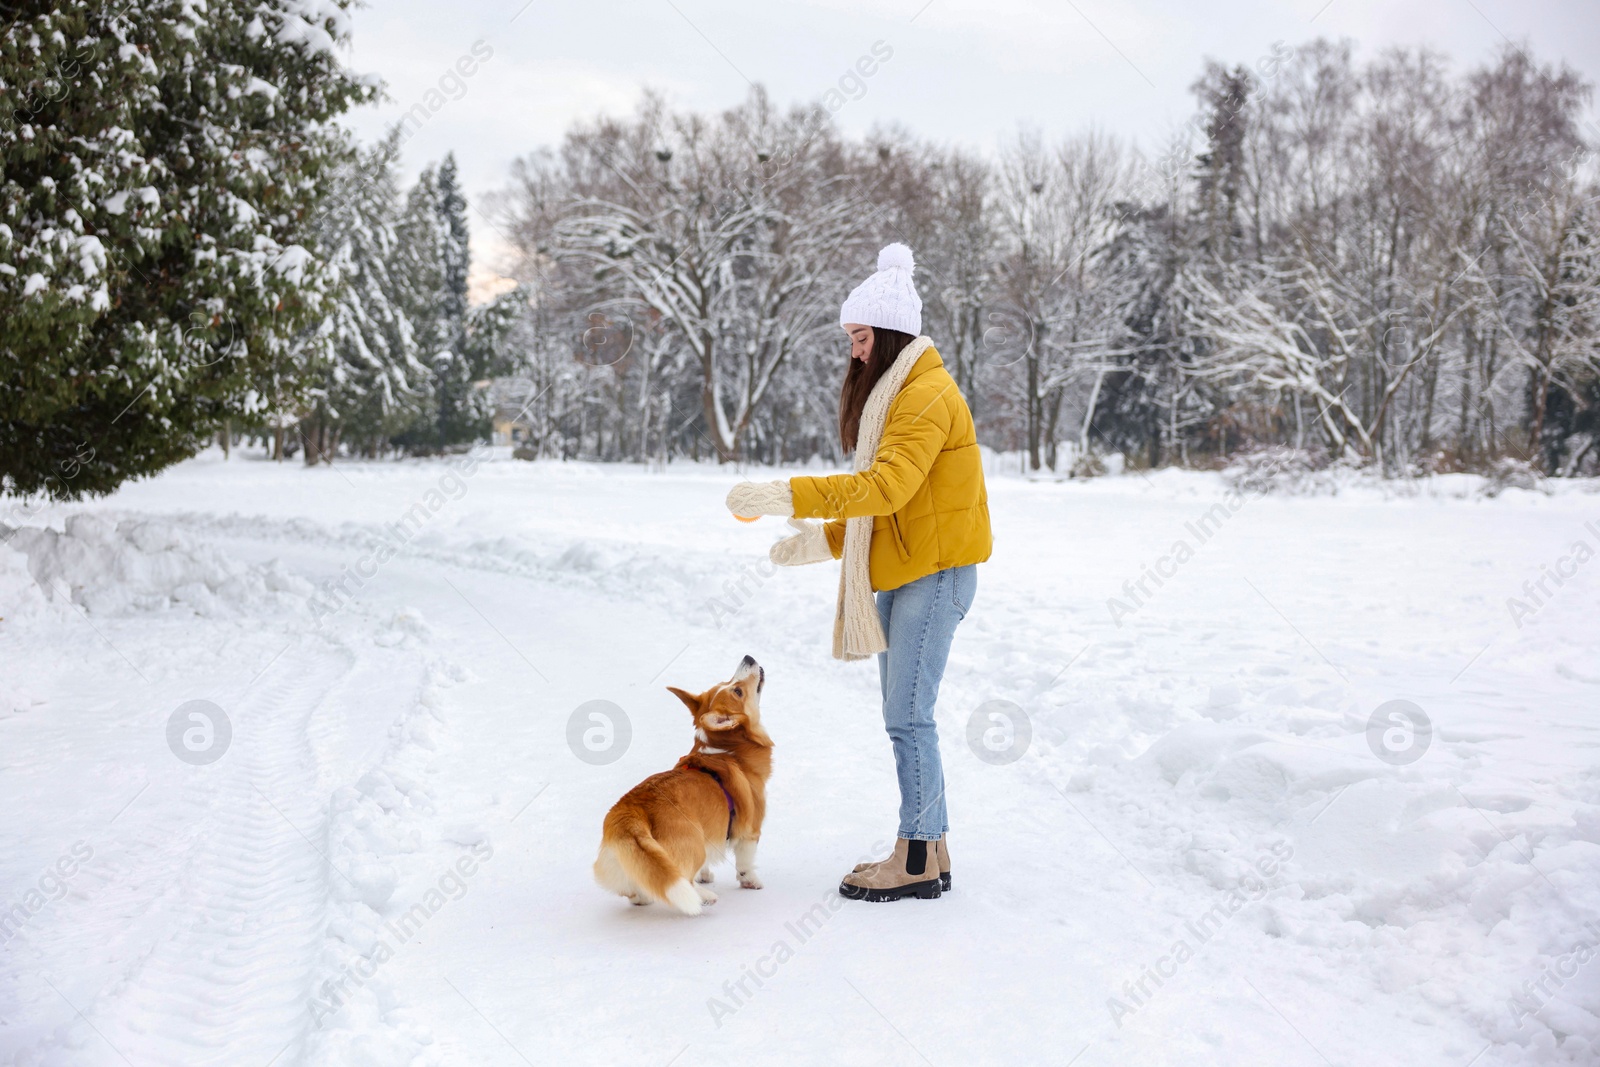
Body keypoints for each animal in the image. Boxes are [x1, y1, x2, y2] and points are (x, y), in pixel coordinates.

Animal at [598, 655, 777, 915]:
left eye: (726, 682)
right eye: (738, 690)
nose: (748, 657)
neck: (728, 750)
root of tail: (629, 812)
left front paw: (707, 875)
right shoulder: (751, 831)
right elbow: (746, 863)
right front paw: (751, 882)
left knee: (640, 891)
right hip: (692, 846)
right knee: (683, 878)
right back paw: (705, 897)